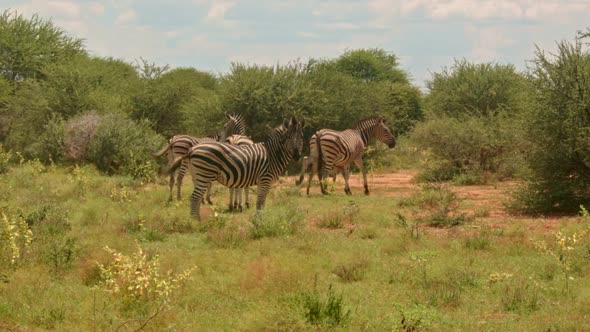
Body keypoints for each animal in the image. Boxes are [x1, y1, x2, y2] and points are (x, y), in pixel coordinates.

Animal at [168, 116, 302, 220]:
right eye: (289, 138)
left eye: (301, 137)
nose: (297, 155)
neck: (272, 154)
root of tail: (192, 149)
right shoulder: (265, 179)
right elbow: (259, 202)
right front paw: (258, 222)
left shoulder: (260, 181)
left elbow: (260, 202)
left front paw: (257, 218)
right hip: (205, 174)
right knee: (194, 197)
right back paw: (196, 221)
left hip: (198, 174)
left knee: (194, 196)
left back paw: (194, 218)